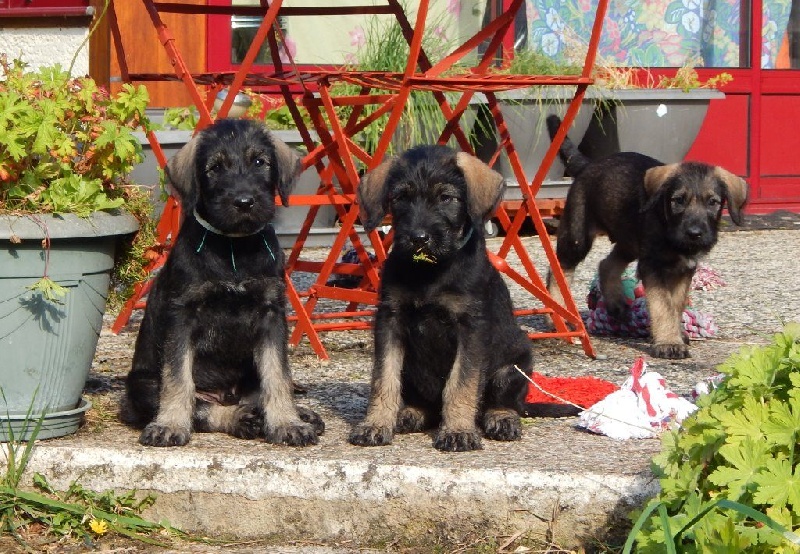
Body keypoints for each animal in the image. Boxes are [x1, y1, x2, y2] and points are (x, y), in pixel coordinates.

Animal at [120, 118, 324, 446]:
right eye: (215, 168)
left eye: (259, 162)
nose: (244, 202)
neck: (234, 248)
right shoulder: (182, 316)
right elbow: (178, 379)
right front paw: (170, 425)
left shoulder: (271, 315)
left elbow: (278, 374)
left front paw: (287, 422)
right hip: (142, 387)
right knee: (201, 407)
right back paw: (238, 417)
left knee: (258, 393)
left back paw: (295, 414)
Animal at [350, 144, 576, 450]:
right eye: (400, 197)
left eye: (446, 198)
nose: (418, 238)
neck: (430, 271)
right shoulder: (390, 320)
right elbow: (384, 378)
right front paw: (375, 424)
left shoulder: (470, 329)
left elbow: (461, 383)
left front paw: (458, 430)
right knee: (425, 404)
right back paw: (410, 413)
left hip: (514, 365)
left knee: (506, 403)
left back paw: (502, 419)